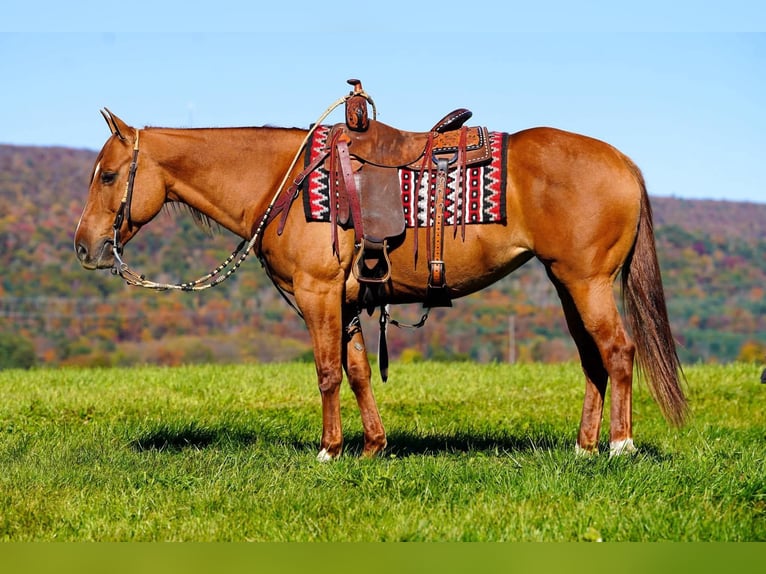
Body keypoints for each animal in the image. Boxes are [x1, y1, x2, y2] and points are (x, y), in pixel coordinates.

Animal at [74, 108, 687, 460]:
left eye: (109, 176)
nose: (84, 246)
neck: (284, 182)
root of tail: (625, 163)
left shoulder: (318, 293)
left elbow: (326, 372)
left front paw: (329, 450)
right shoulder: (343, 302)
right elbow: (358, 372)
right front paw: (371, 447)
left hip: (588, 282)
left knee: (618, 350)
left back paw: (620, 446)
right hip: (567, 283)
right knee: (593, 359)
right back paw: (585, 447)